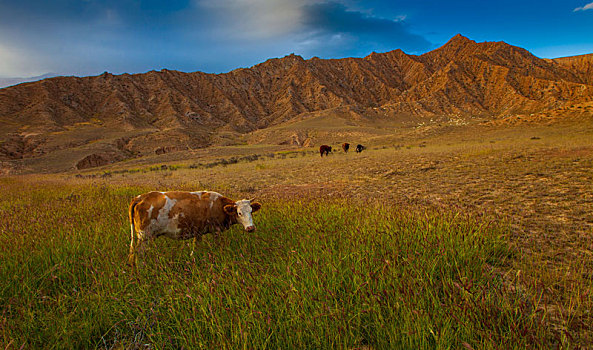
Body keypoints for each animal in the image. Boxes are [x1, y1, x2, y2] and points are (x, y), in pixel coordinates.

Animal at [128, 191, 260, 266]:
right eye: (239, 213)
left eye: (251, 211)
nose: (250, 228)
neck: (218, 205)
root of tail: (140, 197)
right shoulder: (216, 231)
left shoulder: (198, 232)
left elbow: (195, 248)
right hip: (145, 237)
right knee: (138, 255)